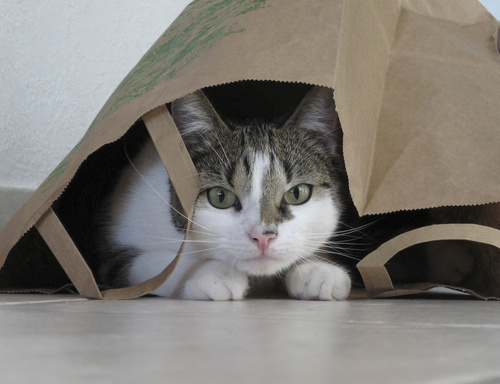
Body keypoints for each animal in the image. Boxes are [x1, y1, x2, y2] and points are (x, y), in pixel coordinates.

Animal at [98, 86, 352, 300]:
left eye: (297, 193)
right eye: (220, 197)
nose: (262, 237)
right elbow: (159, 266)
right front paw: (214, 273)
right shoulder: (114, 257)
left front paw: (317, 269)